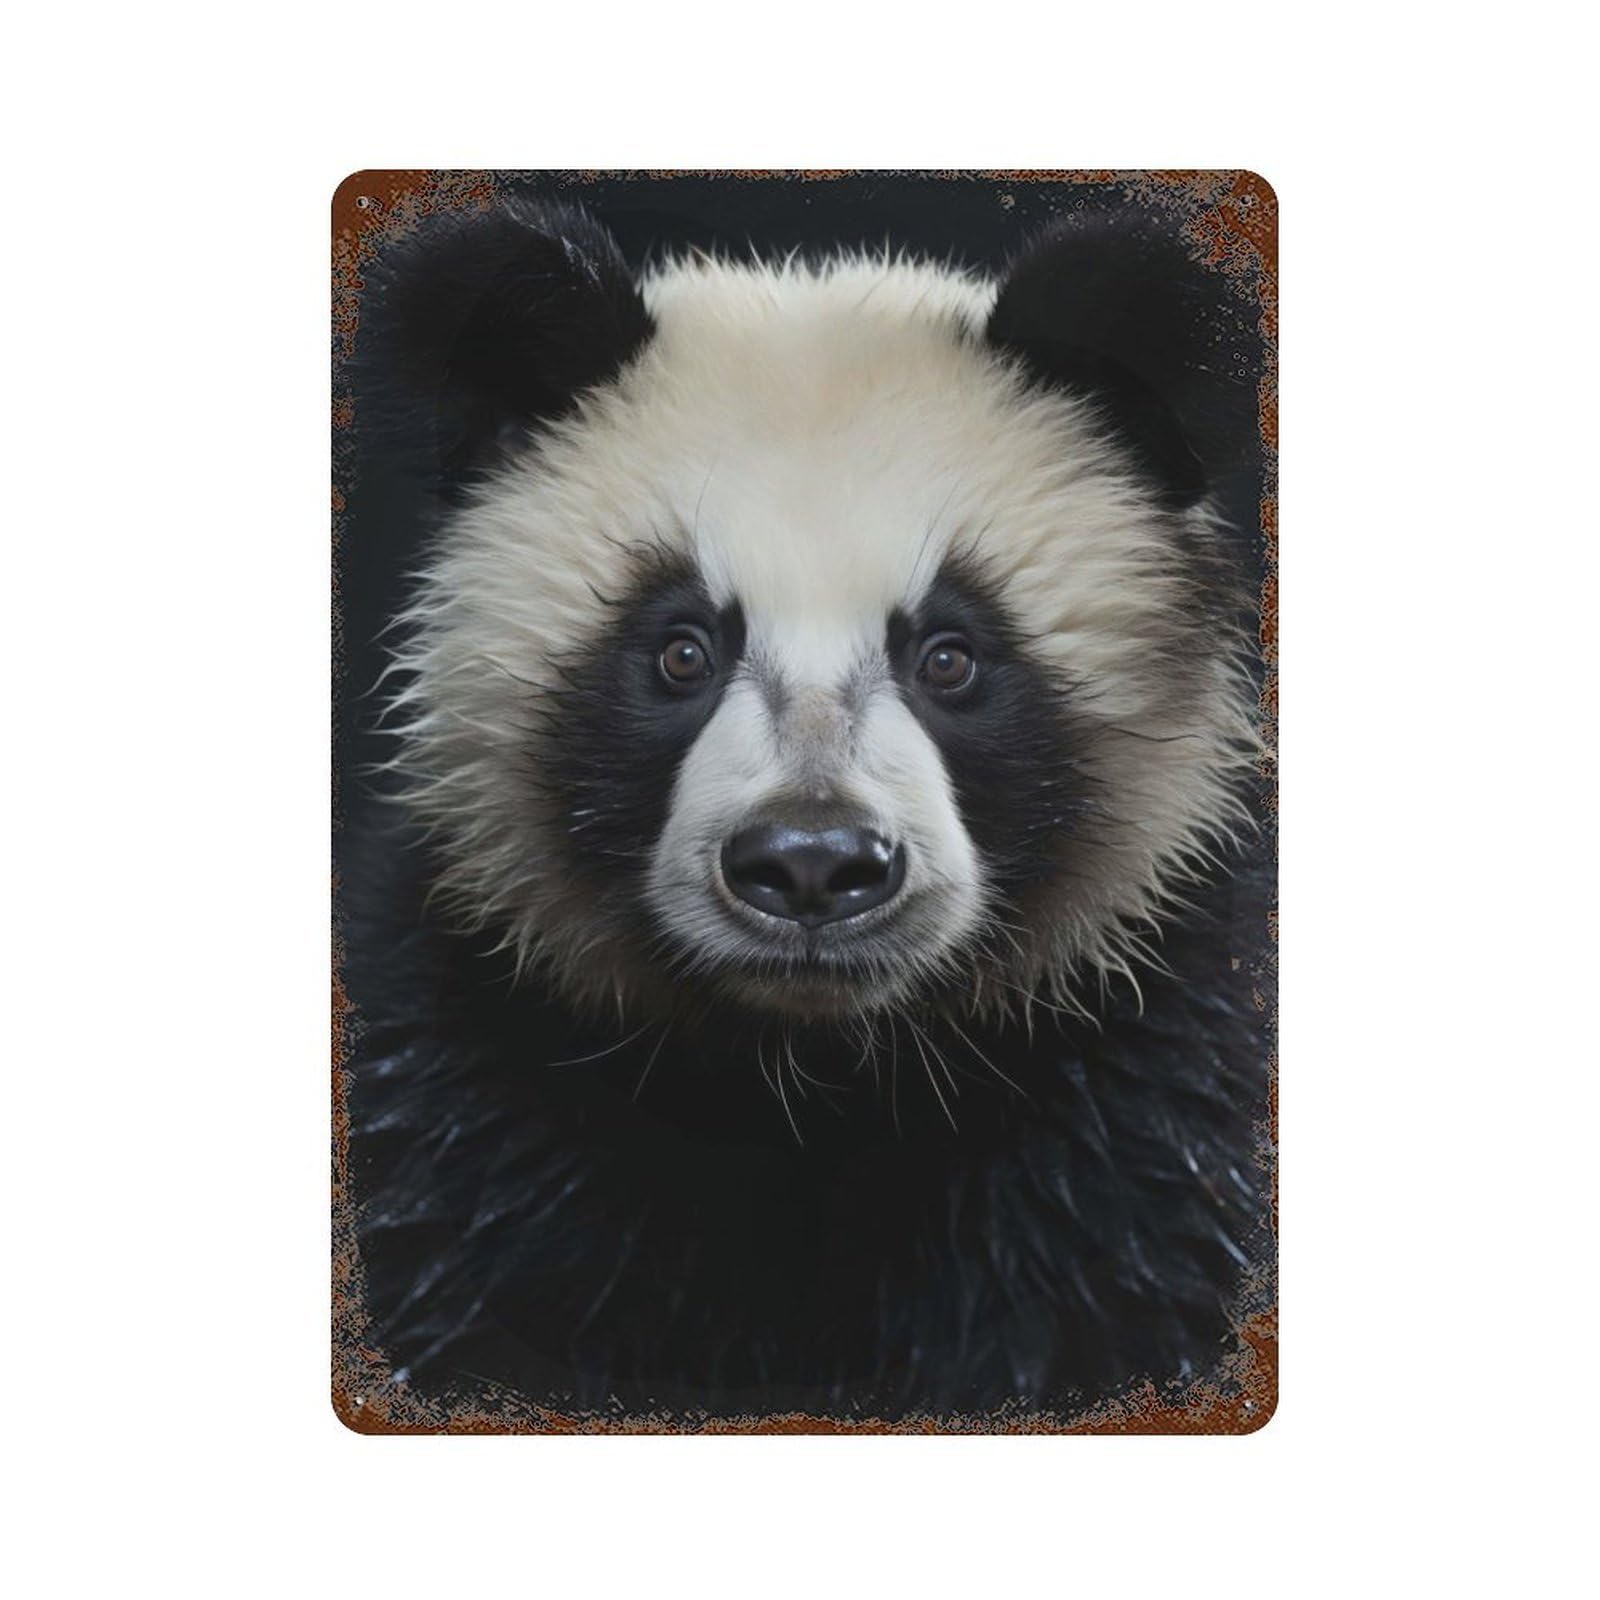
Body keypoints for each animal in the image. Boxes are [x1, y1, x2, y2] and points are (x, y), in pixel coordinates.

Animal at [337, 187, 1274, 1425]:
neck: (818, 1077)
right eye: (681, 649)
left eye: (949, 655)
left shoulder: (1147, 1078)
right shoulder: (468, 1071)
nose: (814, 864)